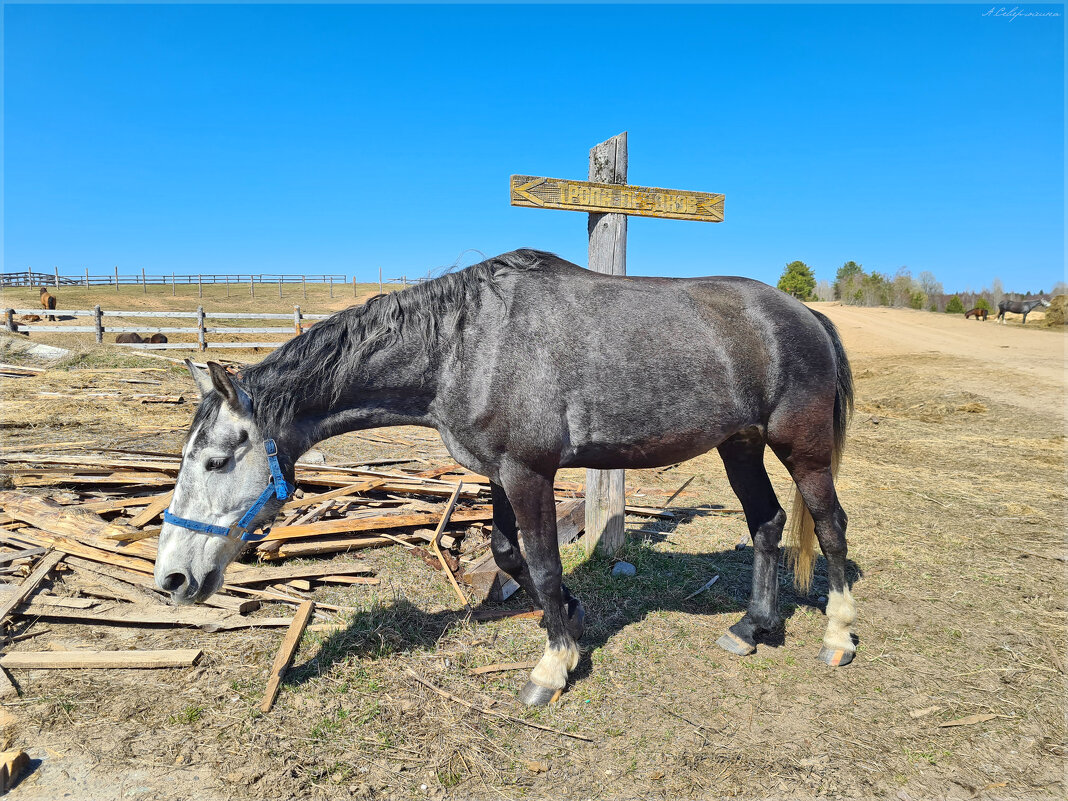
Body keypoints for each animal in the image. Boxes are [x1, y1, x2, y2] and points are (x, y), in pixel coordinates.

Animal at [154, 250, 858, 709]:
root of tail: (805, 314)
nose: (172, 580)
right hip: (740, 446)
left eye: (216, 460)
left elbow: (543, 563)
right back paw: (753, 627)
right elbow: (507, 553)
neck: (464, 347)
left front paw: (552, 667)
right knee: (767, 522)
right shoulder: (498, 473)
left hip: (801, 448)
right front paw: (573, 618)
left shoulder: (530, 472)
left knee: (830, 526)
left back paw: (838, 636)